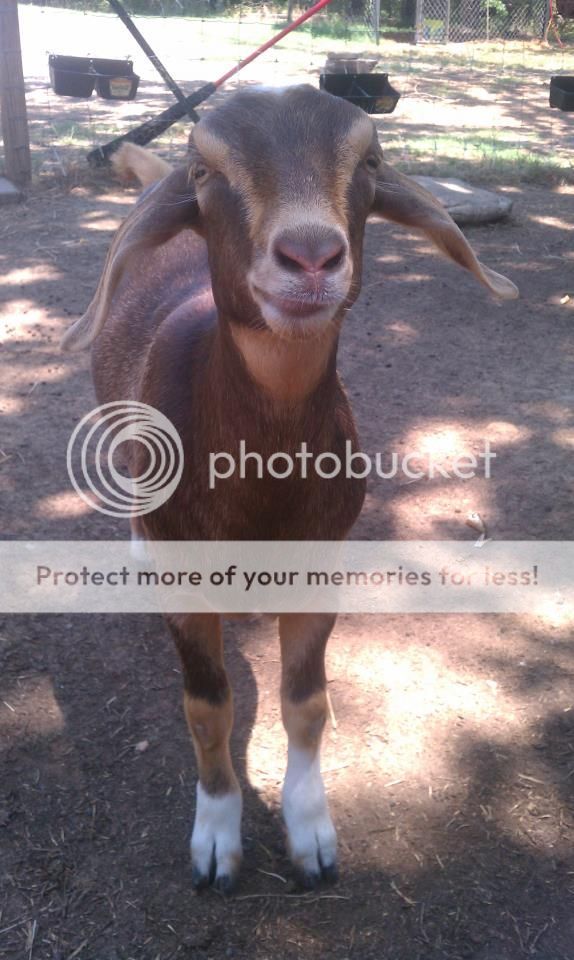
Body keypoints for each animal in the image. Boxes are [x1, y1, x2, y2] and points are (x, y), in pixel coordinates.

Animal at [62, 85, 517, 893]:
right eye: (204, 170)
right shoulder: (189, 587)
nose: (310, 256)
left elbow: (308, 704)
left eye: (370, 161)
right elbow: (207, 709)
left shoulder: (319, 564)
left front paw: (311, 834)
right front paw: (216, 839)